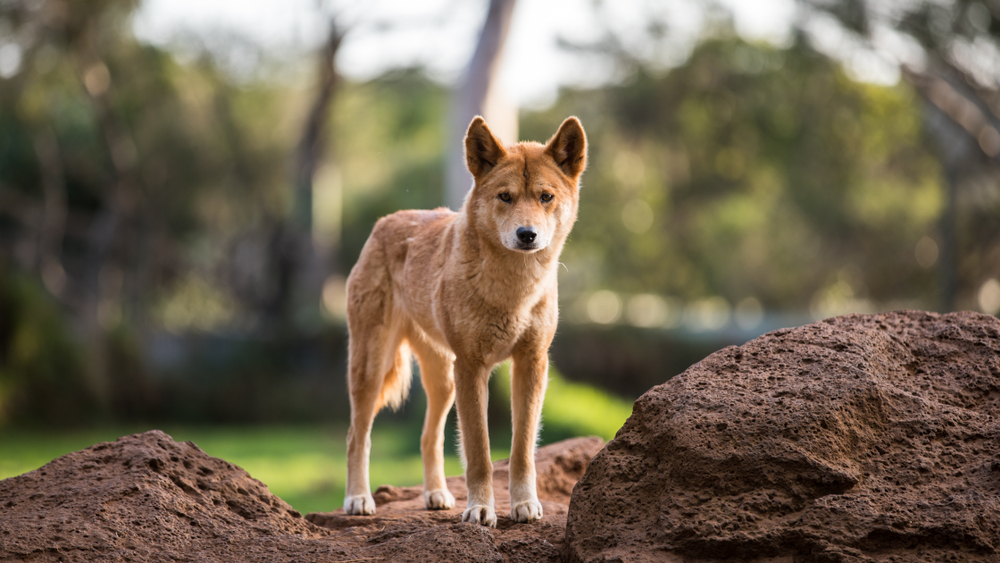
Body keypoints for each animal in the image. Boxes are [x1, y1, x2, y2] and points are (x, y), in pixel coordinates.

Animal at [344, 115, 584, 528]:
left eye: (545, 197)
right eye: (505, 197)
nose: (527, 235)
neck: (513, 290)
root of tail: (385, 222)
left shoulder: (531, 364)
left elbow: (522, 450)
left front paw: (524, 505)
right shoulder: (472, 367)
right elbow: (479, 452)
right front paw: (481, 510)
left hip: (442, 381)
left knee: (429, 437)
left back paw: (436, 495)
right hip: (372, 369)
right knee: (357, 437)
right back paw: (358, 498)